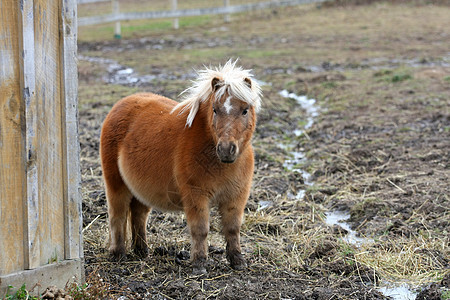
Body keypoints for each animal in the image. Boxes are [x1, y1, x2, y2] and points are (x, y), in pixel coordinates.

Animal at [100, 59, 262, 274]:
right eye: (215, 109)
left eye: (245, 110)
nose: (226, 149)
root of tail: (119, 105)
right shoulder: (196, 195)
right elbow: (200, 230)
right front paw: (199, 264)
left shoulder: (236, 196)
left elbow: (232, 228)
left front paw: (238, 261)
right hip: (116, 184)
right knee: (117, 215)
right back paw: (118, 254)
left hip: (141, 189)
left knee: (138, 214)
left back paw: (142, 251)